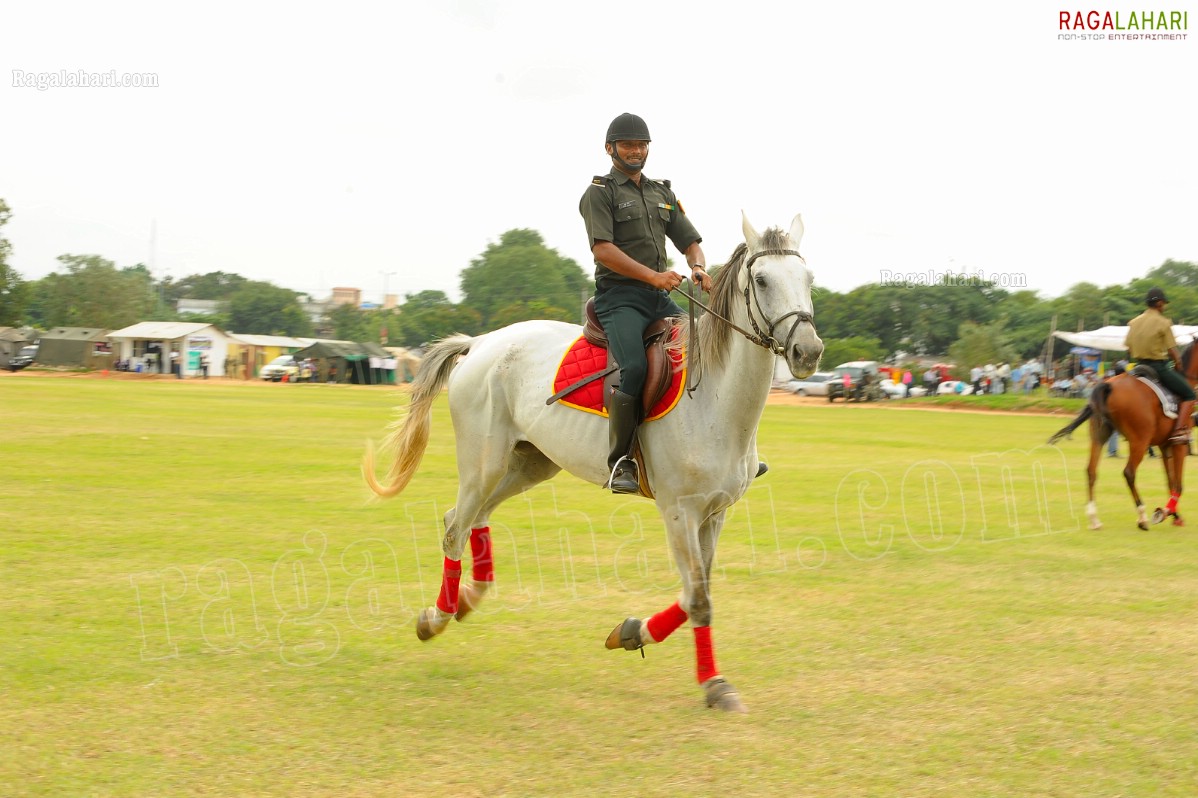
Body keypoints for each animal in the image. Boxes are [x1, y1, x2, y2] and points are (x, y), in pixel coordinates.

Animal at [364, 210, 824, 709]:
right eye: (761, 280)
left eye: (809, 279)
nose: (808, 351)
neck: (715, 398)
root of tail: (481, 342)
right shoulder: (680, 511)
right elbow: (698, 598)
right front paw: (714, 685)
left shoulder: (714, 512)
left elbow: (693, 594)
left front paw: (630, 632)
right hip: (483, 461)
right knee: (455, 528)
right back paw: (437, 616)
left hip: (529, 463)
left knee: (471, 518)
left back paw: (468, 598)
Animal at [1049, 347, 1198, 527]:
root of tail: (1108, 384)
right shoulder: (1179, 444)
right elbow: (1178, 484)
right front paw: (1167, 513)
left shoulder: (1165, 446)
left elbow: (1170, 481)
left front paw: (1174, 514)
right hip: (1139, 441)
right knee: (1129, 473)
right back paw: (1142, 516)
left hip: (1099, 436)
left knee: (1091, 471)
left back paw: (1094, 518)